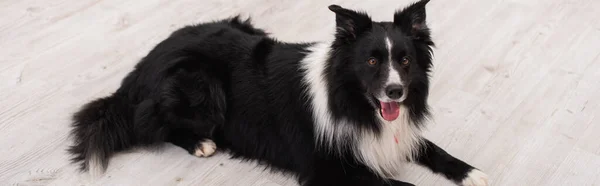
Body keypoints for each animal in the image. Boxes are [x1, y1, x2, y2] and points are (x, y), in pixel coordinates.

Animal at [69, 0, 488, 185]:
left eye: (404, 60)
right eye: (371, 61)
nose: (395, 92)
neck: (351, 102)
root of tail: (142, 65)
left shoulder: (394, 133)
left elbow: (430, 146)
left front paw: (470, 172)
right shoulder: (329, 170)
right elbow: (406, 185)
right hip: (200, 84)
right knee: (151, 124)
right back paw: (201, 142)